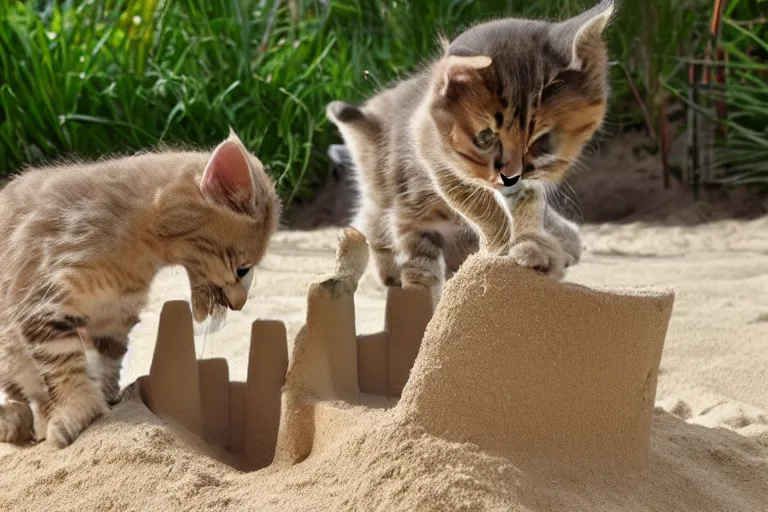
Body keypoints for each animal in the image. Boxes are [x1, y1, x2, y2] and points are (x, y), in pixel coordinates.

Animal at [0, 132, 280, 448]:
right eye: (243, 269)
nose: (239, 304)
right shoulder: (40, 296)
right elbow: (64, 366)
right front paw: (78, 411)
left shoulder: (114, 317)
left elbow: (108, 360)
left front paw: (107, 396)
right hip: (9, 350)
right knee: (29, 393)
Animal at [328, 0, 616, 298]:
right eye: (486, 138)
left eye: (542, 139)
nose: (511, 174)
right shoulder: (440, 170)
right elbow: (483, 211)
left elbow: (527, 206)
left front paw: (531, 246)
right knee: (375, 221)